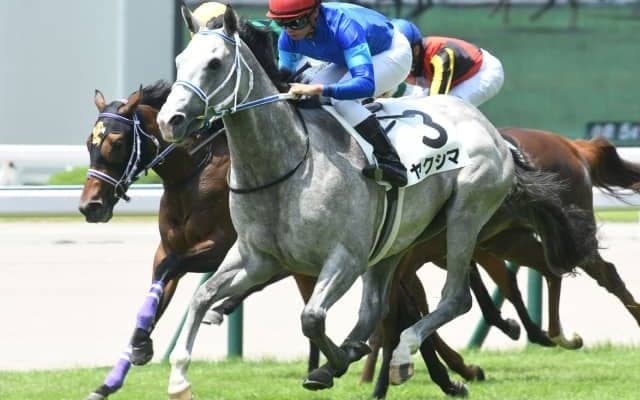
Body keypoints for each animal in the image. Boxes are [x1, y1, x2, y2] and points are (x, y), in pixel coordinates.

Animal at [155, 7, 593, 398]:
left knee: (454, 298)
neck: (287, 165)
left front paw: (332, 364)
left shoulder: (344, 258)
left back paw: (403, 357)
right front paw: (178, 378)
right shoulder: (257, 257)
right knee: (378, 307)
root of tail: (490, 130)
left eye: (214, 63)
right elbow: (201, 297)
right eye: (179, 61)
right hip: (395, 244)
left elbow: (311, 318)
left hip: (466, 214)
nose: (169, 121)